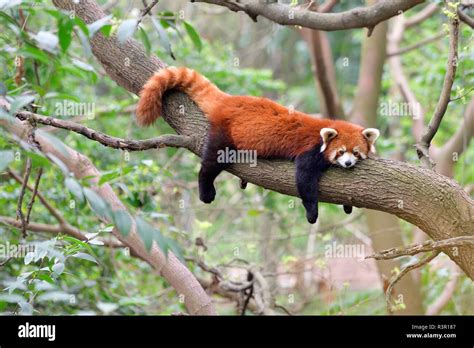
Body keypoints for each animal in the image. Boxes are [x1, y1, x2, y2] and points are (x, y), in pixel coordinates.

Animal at [135, 67, 380, 224]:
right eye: (341, 152)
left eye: (355, 152)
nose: (347, 164)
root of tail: (229, 100)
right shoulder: (310, 152)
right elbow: (304, 179)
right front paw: (312, 214)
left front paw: (348, 206)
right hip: (225, 134)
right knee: (212, 161)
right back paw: (206, 190)